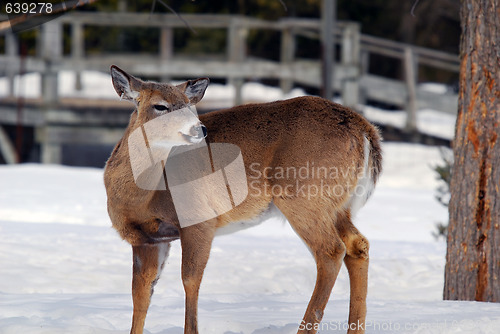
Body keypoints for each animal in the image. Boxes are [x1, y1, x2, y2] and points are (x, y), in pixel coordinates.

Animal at [104, 65, 382, 334]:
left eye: (189, 105)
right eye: (160, 106)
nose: (199, 129)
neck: (143, 197)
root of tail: (366, 131)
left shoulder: (199, 218)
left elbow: (190, 279)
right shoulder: (145, 238)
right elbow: (141, 292)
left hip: (303, 196)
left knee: (331, 250)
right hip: (338, 205)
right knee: (357, 245)